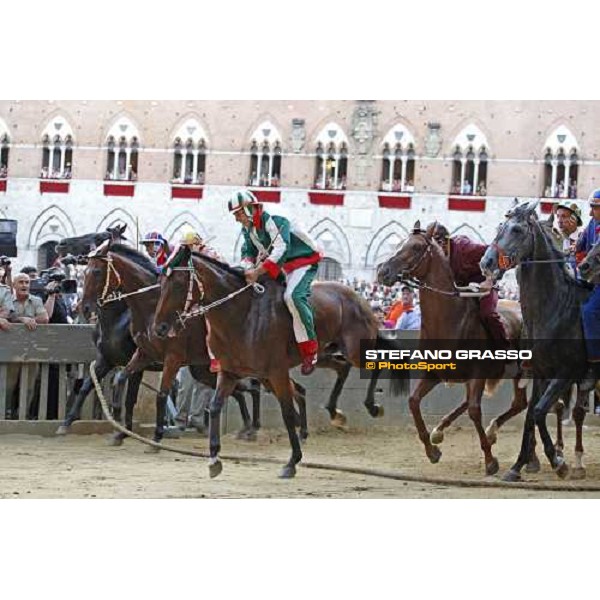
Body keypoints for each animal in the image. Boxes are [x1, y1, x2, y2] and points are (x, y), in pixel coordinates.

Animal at [81, 240, 262, 446]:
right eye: (85, 271)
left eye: (97, 271)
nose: (85, 308)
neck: (151, 306)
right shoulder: (141, 354)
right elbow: (119, 381)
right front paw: (119, 432)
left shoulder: (172, 358)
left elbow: (158, 395)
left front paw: (156, 436)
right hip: (202, 370)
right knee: (238, 391)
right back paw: (247, 427)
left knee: (253, 387)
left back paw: (254, 426)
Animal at [152, 244, 382, 478]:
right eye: (161, 282)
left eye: (179, 283)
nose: (159, 327)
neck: (242, 315)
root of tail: (358, 298)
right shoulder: (228, 372)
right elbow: (215, 407)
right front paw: (214, 458)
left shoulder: (276, 372)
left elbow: (287, 413)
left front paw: (292, 461)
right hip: (322, 355)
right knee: (341, 368)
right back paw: (334, 411)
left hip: (355, 349)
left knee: (376, 362)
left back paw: (372, 406)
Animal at [378, 219, 528, 474]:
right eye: (400, 244)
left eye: (416, 247)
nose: (383, 271)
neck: (450, 320)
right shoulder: (435, 374)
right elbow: (413, 402)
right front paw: (432, 450)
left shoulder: (477, 374)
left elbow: (475, 411)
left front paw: (490, 460)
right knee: (515, 404)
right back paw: (445, 431)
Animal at [478, 199, 592, 480]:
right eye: (500, 226)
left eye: (517, 230)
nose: (486, 262)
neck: (556, 308)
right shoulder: (541, 372)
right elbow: (532, 413)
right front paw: (518, 465)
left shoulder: (567, 372)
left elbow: (540, 411)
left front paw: (558, 462)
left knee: (577, 412)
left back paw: (576, 461)